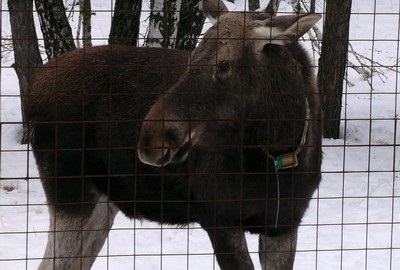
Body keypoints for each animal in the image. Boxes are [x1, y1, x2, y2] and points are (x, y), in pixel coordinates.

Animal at [25, 1, 322, 268]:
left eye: (224, 65)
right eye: (191, 59)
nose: (151, 141)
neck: (279, 149)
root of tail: (33, 86)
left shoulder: (284, 226)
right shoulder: (217, 218)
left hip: (103, 199)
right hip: (69, 193)